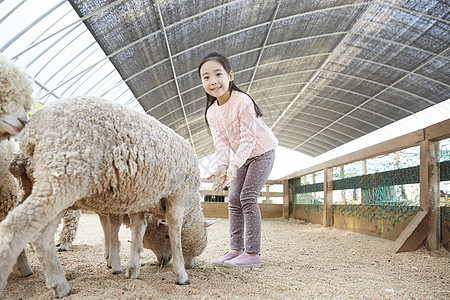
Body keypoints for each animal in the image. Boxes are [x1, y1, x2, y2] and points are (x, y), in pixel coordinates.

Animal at [0, 96, 216, 298]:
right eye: (163, 237)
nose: (166, 260)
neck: (192, 207)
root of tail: (31, 130)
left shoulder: (138, 202)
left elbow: (137, 232)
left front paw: (132, 269)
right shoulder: (178, 196)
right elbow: (175, 233)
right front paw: (180, 274)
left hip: (52, 185)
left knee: (39, 234)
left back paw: (54, 282)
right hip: (63, 177)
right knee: (19, 226)